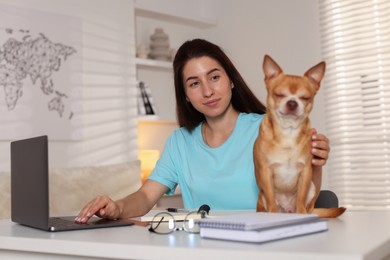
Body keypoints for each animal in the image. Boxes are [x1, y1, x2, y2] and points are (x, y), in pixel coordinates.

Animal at [254, 54, 346, 217]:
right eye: (279, 95)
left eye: (305, 97)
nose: (292, 102)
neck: (288, 132)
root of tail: (286, 211)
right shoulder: (265, 172)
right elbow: (271, 200)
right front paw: (272, 215)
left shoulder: (305, 173)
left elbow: (301, 198)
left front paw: (301, 214)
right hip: (262, 195)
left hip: (312, 188)